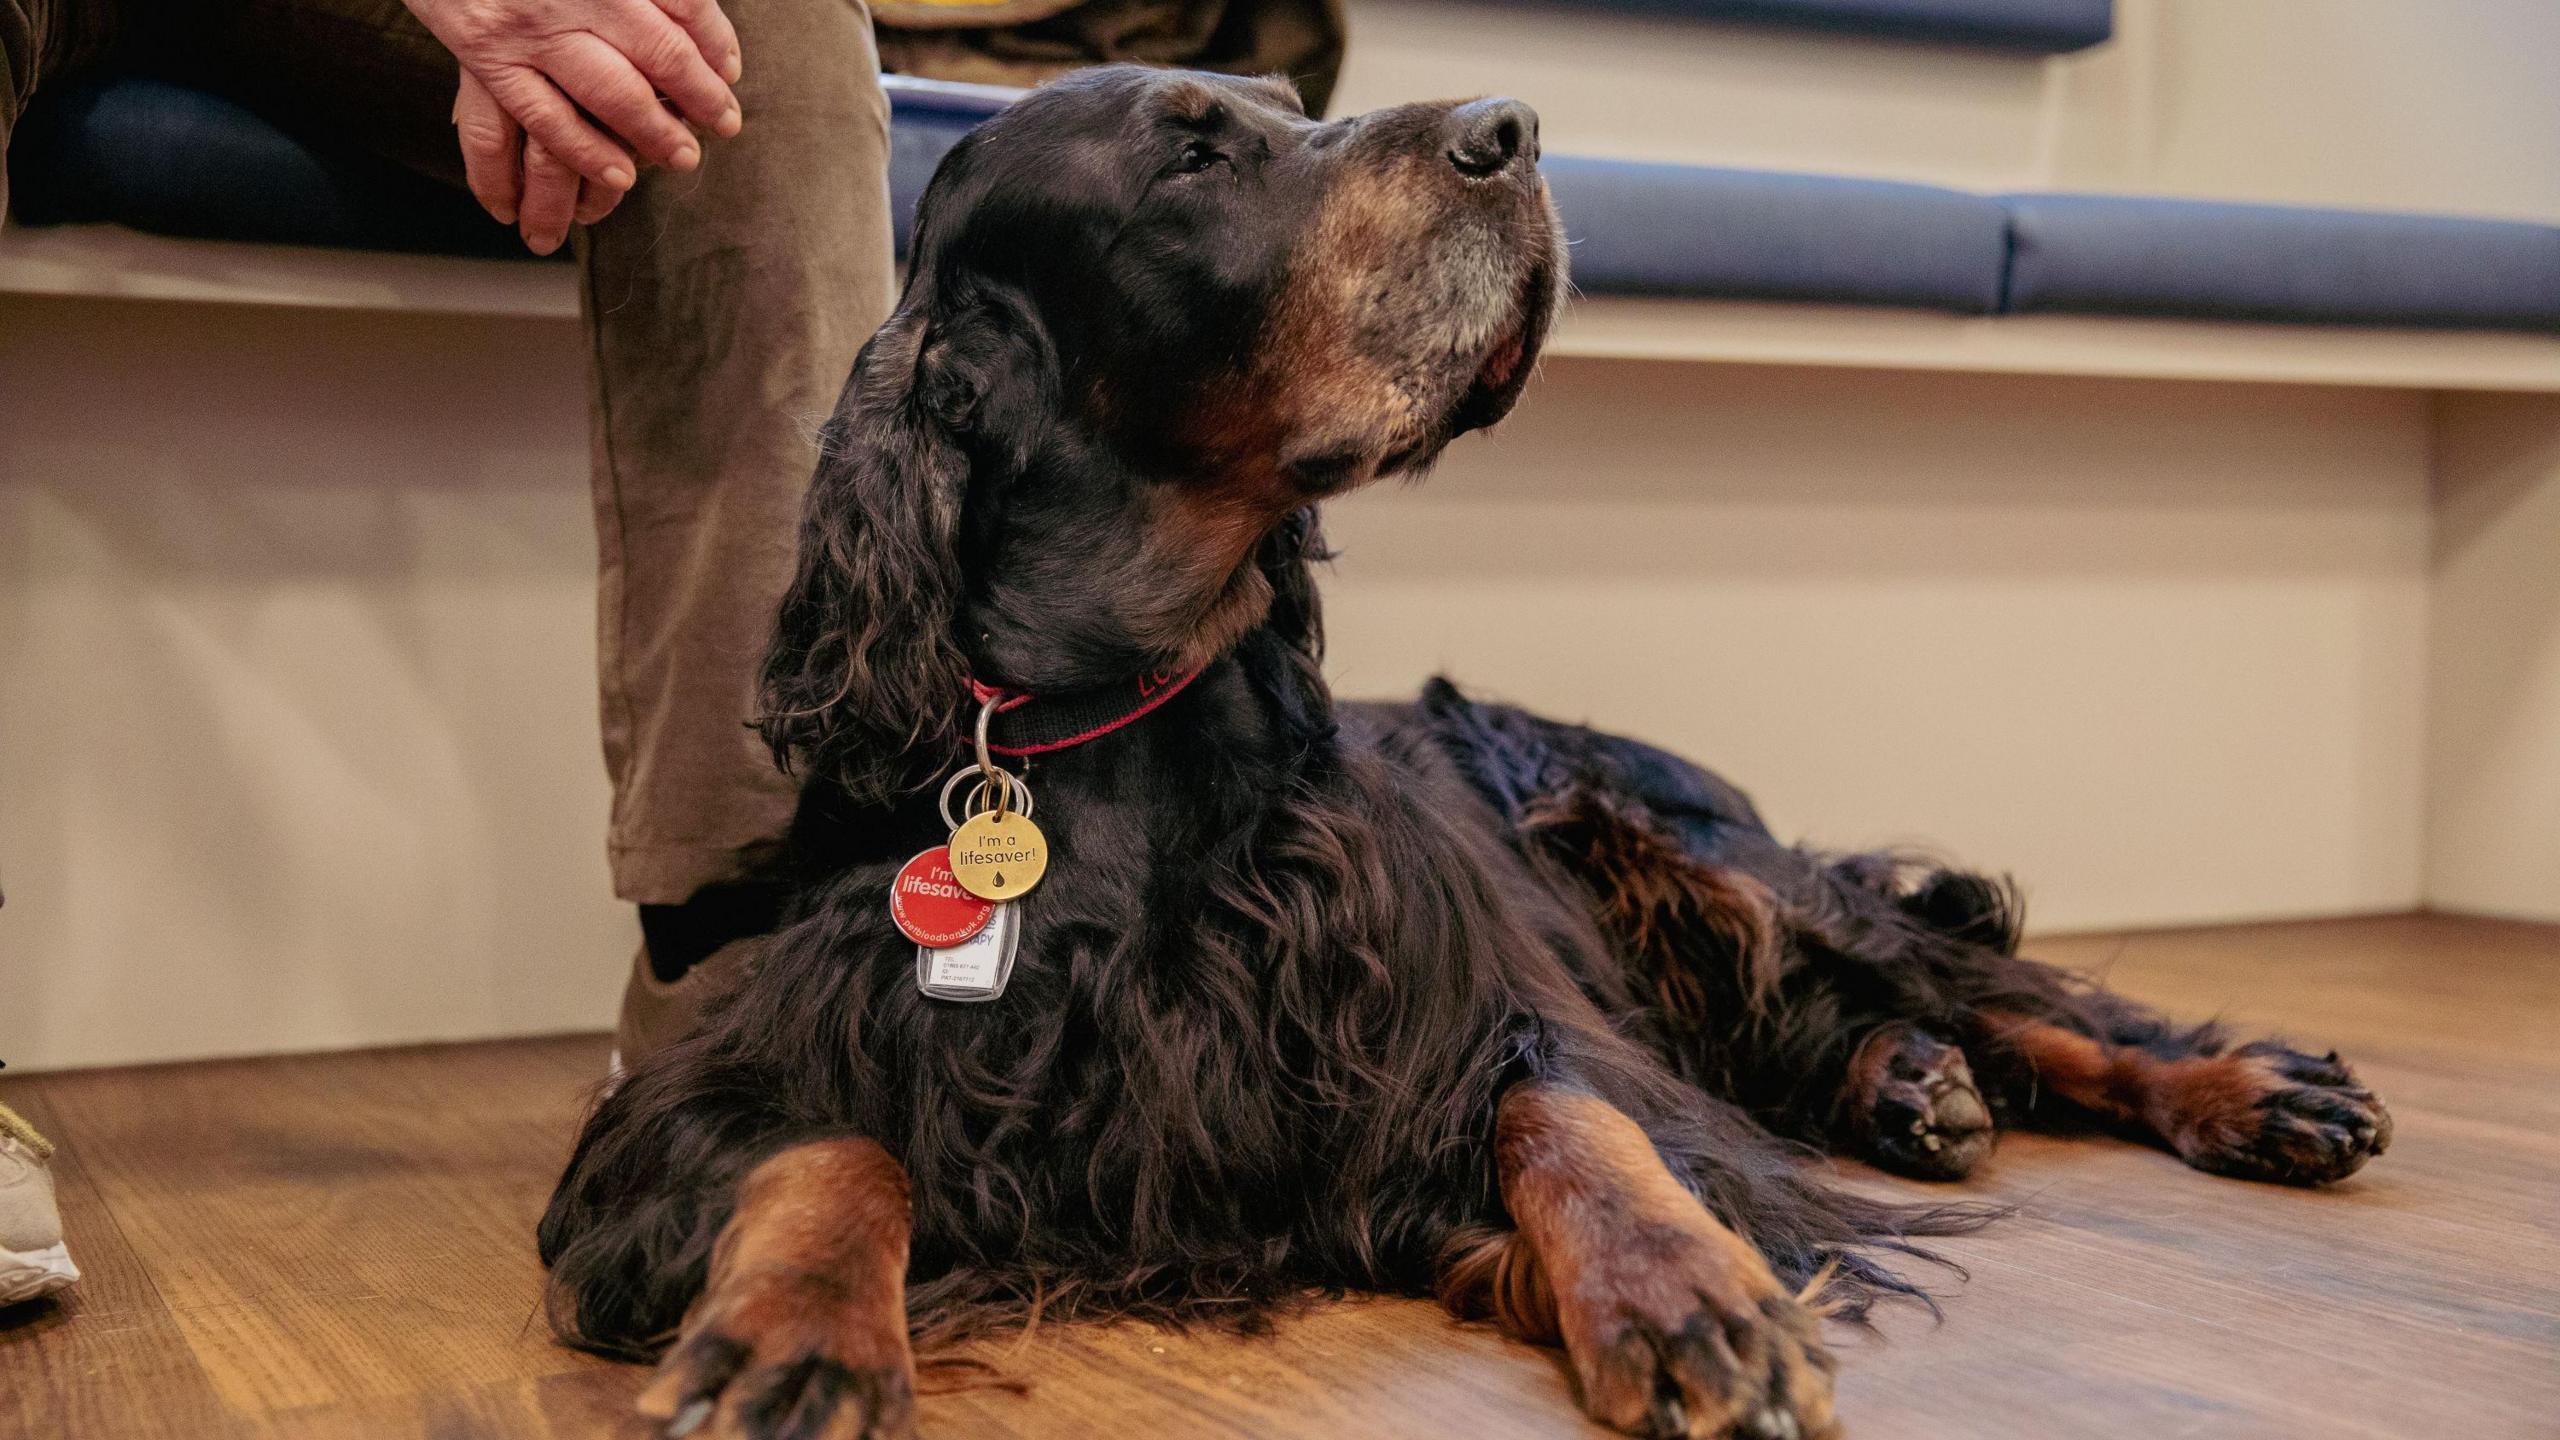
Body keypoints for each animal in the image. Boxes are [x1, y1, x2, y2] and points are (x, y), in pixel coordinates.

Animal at [540, 64, 2396, 1434]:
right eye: (1189, 160)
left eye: (1285, 107)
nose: (1516, 132)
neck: (1119, 720)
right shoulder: (710, 1103)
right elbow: (833, 1143)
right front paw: (791, 1337)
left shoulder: (1452, 1006)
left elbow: (1572, 1112)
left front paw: (1684, 1286)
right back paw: (1910, 1086)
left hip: (1676, 838)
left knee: (2012, 992)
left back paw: (2243, 1092)